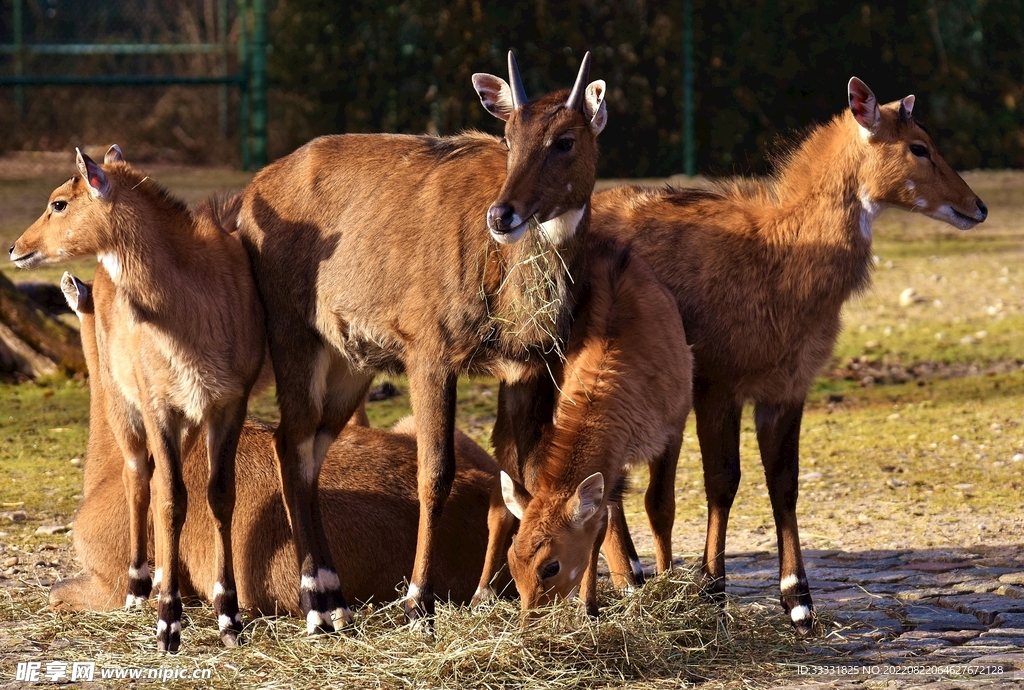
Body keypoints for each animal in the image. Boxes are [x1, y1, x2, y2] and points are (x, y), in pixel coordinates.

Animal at [9, 149, 266, 652]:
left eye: (59, 203)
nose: (14, 247)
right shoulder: (157, 405)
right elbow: (168, 498)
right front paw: (169, 624)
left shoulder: (227, 403)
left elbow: (218, 496)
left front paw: (229, 617)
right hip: (123, 403)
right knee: (139, 477)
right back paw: (139, 584)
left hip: (185, 420)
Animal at [236, 51, 607, 632]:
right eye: (510, 137)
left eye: (565, 140)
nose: (503, 215)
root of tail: (253, 190)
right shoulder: (430, 355)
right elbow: (435, 474)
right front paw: (418, 599)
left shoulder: (527, 368)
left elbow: (524, 478)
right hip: (297, 338)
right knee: (289, 444)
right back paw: (316, 603)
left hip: (350, 364)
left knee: (310, 451)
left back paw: (335, 596)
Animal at [471, 242, 692, 617]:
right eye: (514, 561)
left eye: (550, 566)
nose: (531, 617)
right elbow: (598, 528)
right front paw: (589, 606)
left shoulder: (672, 431)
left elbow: (659, 506)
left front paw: (667, 581)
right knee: (500, 506)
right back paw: (480, 594)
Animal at [589, 78, 988, 634]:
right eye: (919, 147)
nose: (978, 207)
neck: (781, 252)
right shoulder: (719, 386)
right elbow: (724, 482)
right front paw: (713, 591)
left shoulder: (788, 389)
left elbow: (785, 483)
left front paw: (798, 600)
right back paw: (628, 579)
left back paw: (635, 574)